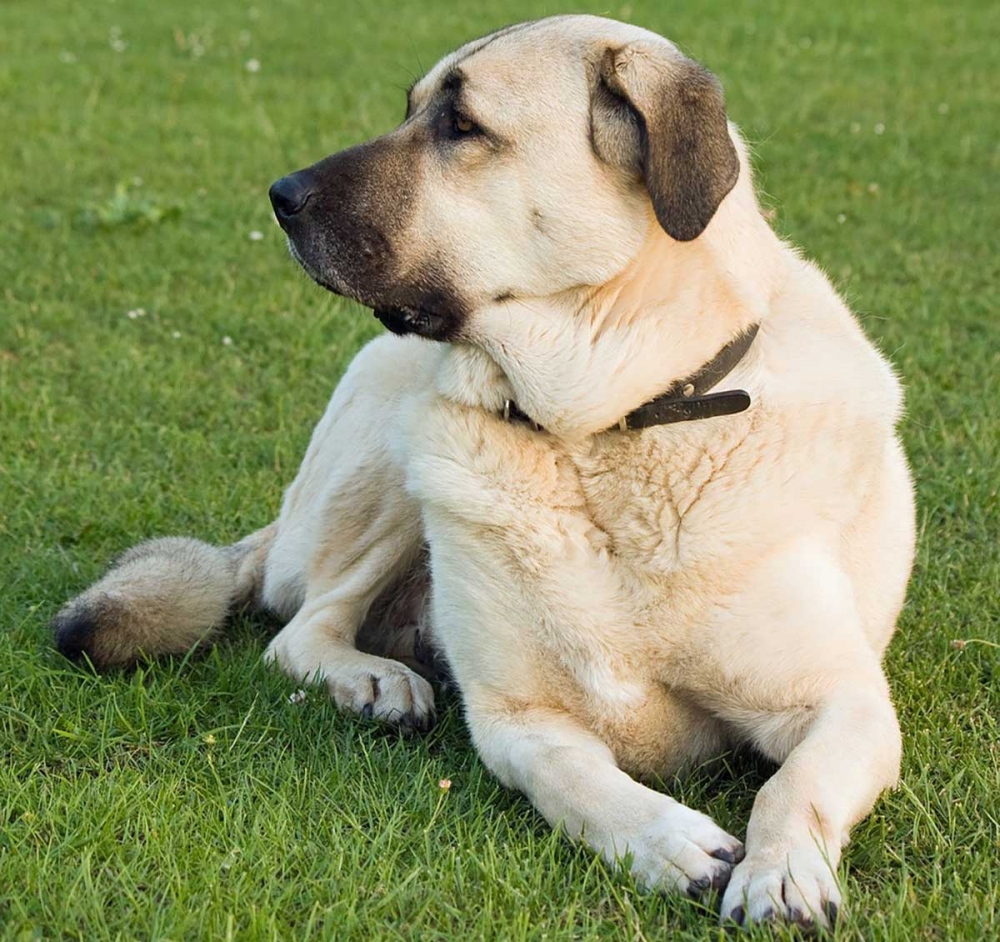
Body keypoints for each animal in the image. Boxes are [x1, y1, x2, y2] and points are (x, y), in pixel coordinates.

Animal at [52, 14, 916, 928]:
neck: (601, 431)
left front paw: (780, 870)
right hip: (394, 469)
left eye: (461, 126)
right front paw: (670, 842)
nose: (280, 196)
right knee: (301, 627)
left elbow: (795, 785)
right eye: (412, 109)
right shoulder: (516, 720)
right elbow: (577, 782)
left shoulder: (845, 704)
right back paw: (373, 680)